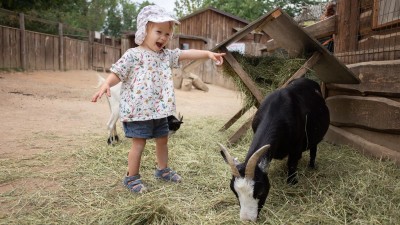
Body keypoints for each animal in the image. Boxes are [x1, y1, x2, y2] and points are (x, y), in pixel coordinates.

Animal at [219, 77, 328, 221]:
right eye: (234, 192)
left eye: (260, 192)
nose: (247, 219)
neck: (277, 110)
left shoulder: (296, 146)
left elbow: (292, 164)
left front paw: (292, 182)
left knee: (314, 148)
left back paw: (311, 166)